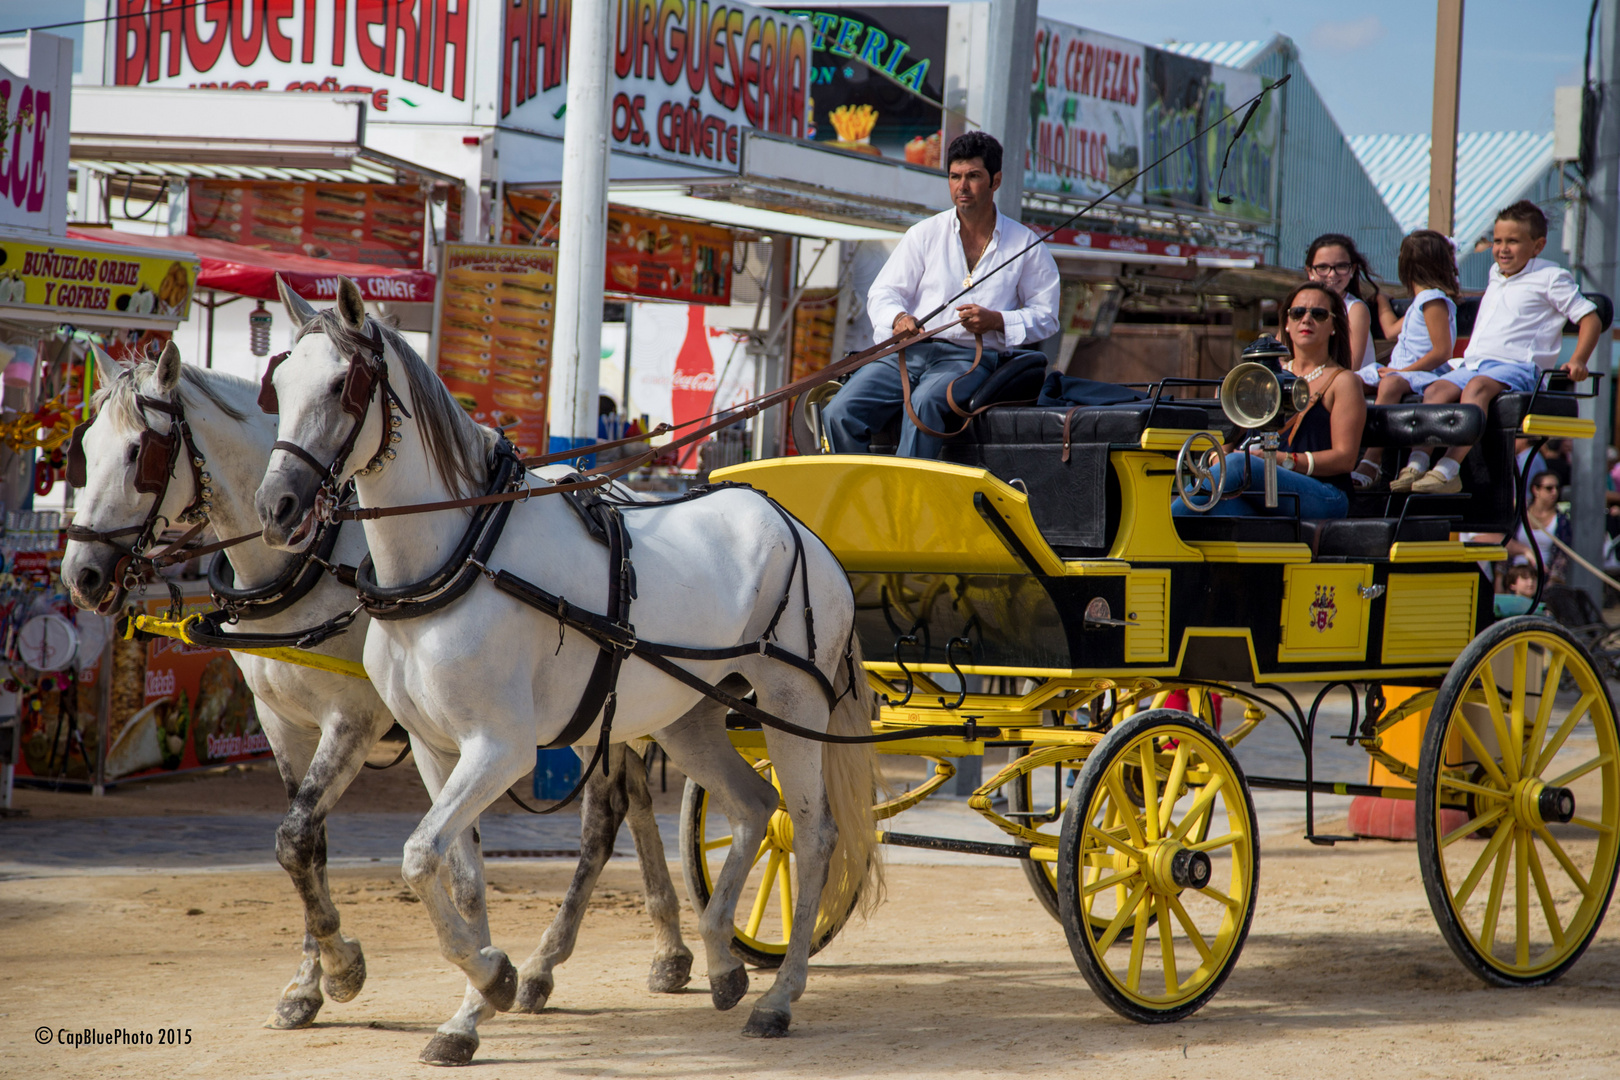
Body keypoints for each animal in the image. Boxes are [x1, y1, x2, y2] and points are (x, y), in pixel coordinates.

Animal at [59, 341, 693, 1042]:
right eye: (83, 448)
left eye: (140, 452)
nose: (82, 575)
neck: (307, 562)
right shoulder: (281, 723)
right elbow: (308, 844)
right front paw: (309, 984)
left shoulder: (353, 720)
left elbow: (297, 837)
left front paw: (342, 968)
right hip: (610, 711)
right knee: (633, 801)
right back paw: (666, 952)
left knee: (607, 813)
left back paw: (549, 964)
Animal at [257, 281, 881, 1062]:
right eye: (278, 383)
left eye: (344, 386)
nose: (275, 508)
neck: (461, 555)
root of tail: (803, 532)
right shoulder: (436, 750)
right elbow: (458, 877)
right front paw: (473, 1008)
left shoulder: (500, 750)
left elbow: (417, 856)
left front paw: (493, 978)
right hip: (691, 718)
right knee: (751, 808)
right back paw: (721, 960)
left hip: (794, 706)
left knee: (812, 831)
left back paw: (779, 996)